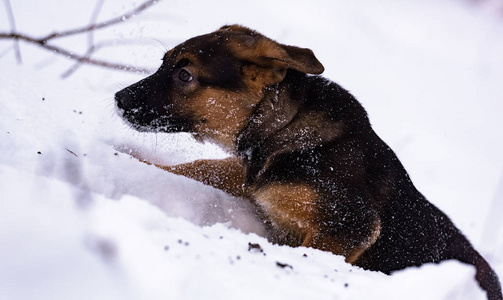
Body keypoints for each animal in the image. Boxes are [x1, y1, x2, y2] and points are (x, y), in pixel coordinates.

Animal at [115, 25, 503, 300]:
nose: (119, 98)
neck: (285, 125)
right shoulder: (250, 178)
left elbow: (305, 255)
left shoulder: (350, 224)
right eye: (164, 63)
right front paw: (125, 157)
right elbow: (197, 166)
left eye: (185, 75)